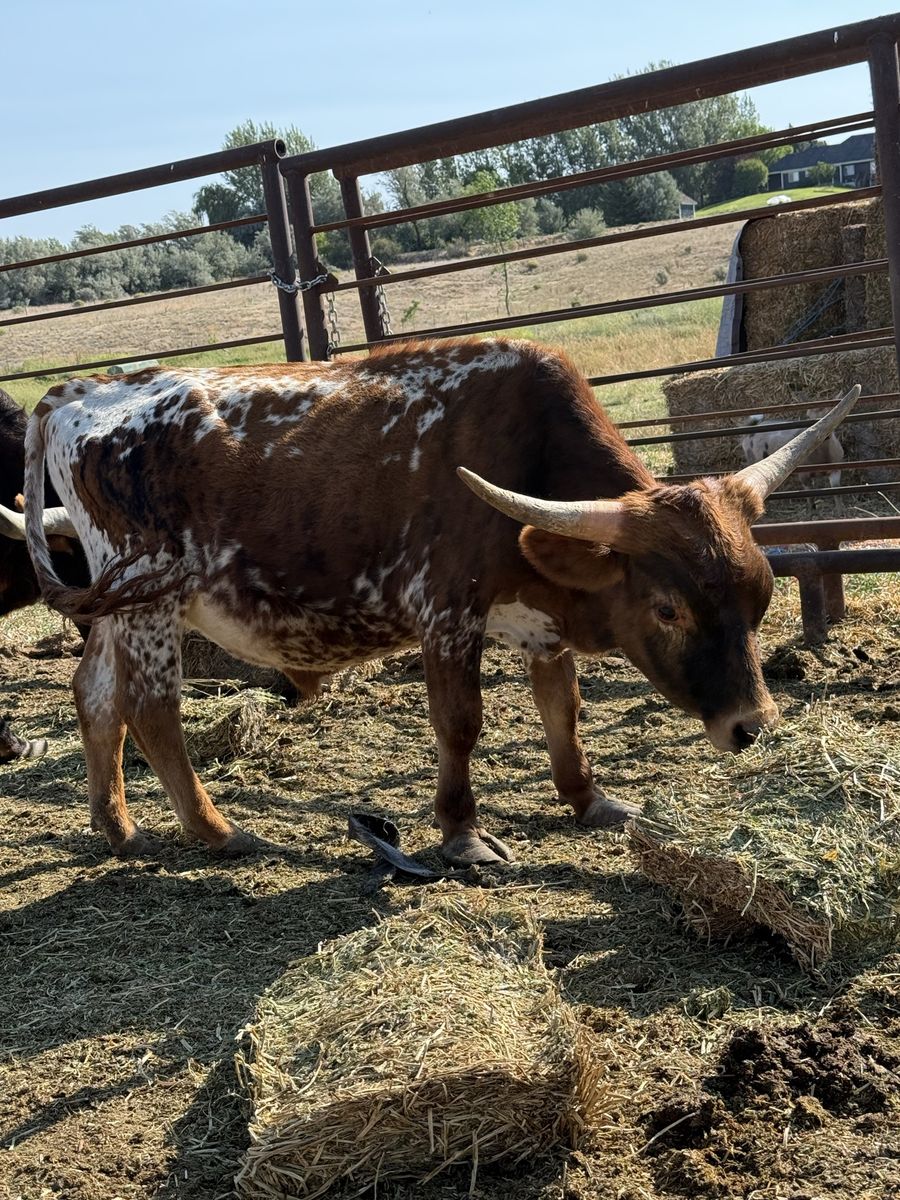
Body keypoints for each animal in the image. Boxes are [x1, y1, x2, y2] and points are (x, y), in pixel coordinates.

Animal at [21, 341, 860, 865]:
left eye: (762, 597)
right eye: (666, 609)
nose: (752, 725)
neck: (530, 454)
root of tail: (75, 392)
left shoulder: (542, 623)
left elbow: (563, 711)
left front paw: (587, 799)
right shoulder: (448, 616)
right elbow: (460, 725)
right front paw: (461, 834)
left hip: (117, 605)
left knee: (94, 694)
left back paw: (117, 825)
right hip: (149, 603)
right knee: (152, 709)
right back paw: (217, 830)